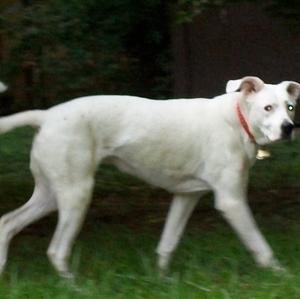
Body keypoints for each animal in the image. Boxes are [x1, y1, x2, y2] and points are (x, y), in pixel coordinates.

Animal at [0, 76, 298, 278]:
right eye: (268, 108)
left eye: (291, 107)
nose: (289, 128)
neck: (237, 119)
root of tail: (46, 115)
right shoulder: (231, 201)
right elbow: (260, 245)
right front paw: (280, 274)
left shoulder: (186, 196)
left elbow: (167, 243)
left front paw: (162, 278)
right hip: (76, 196)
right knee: (56, 250)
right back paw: (74, 287)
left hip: (50, 195)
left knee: (7, 223)